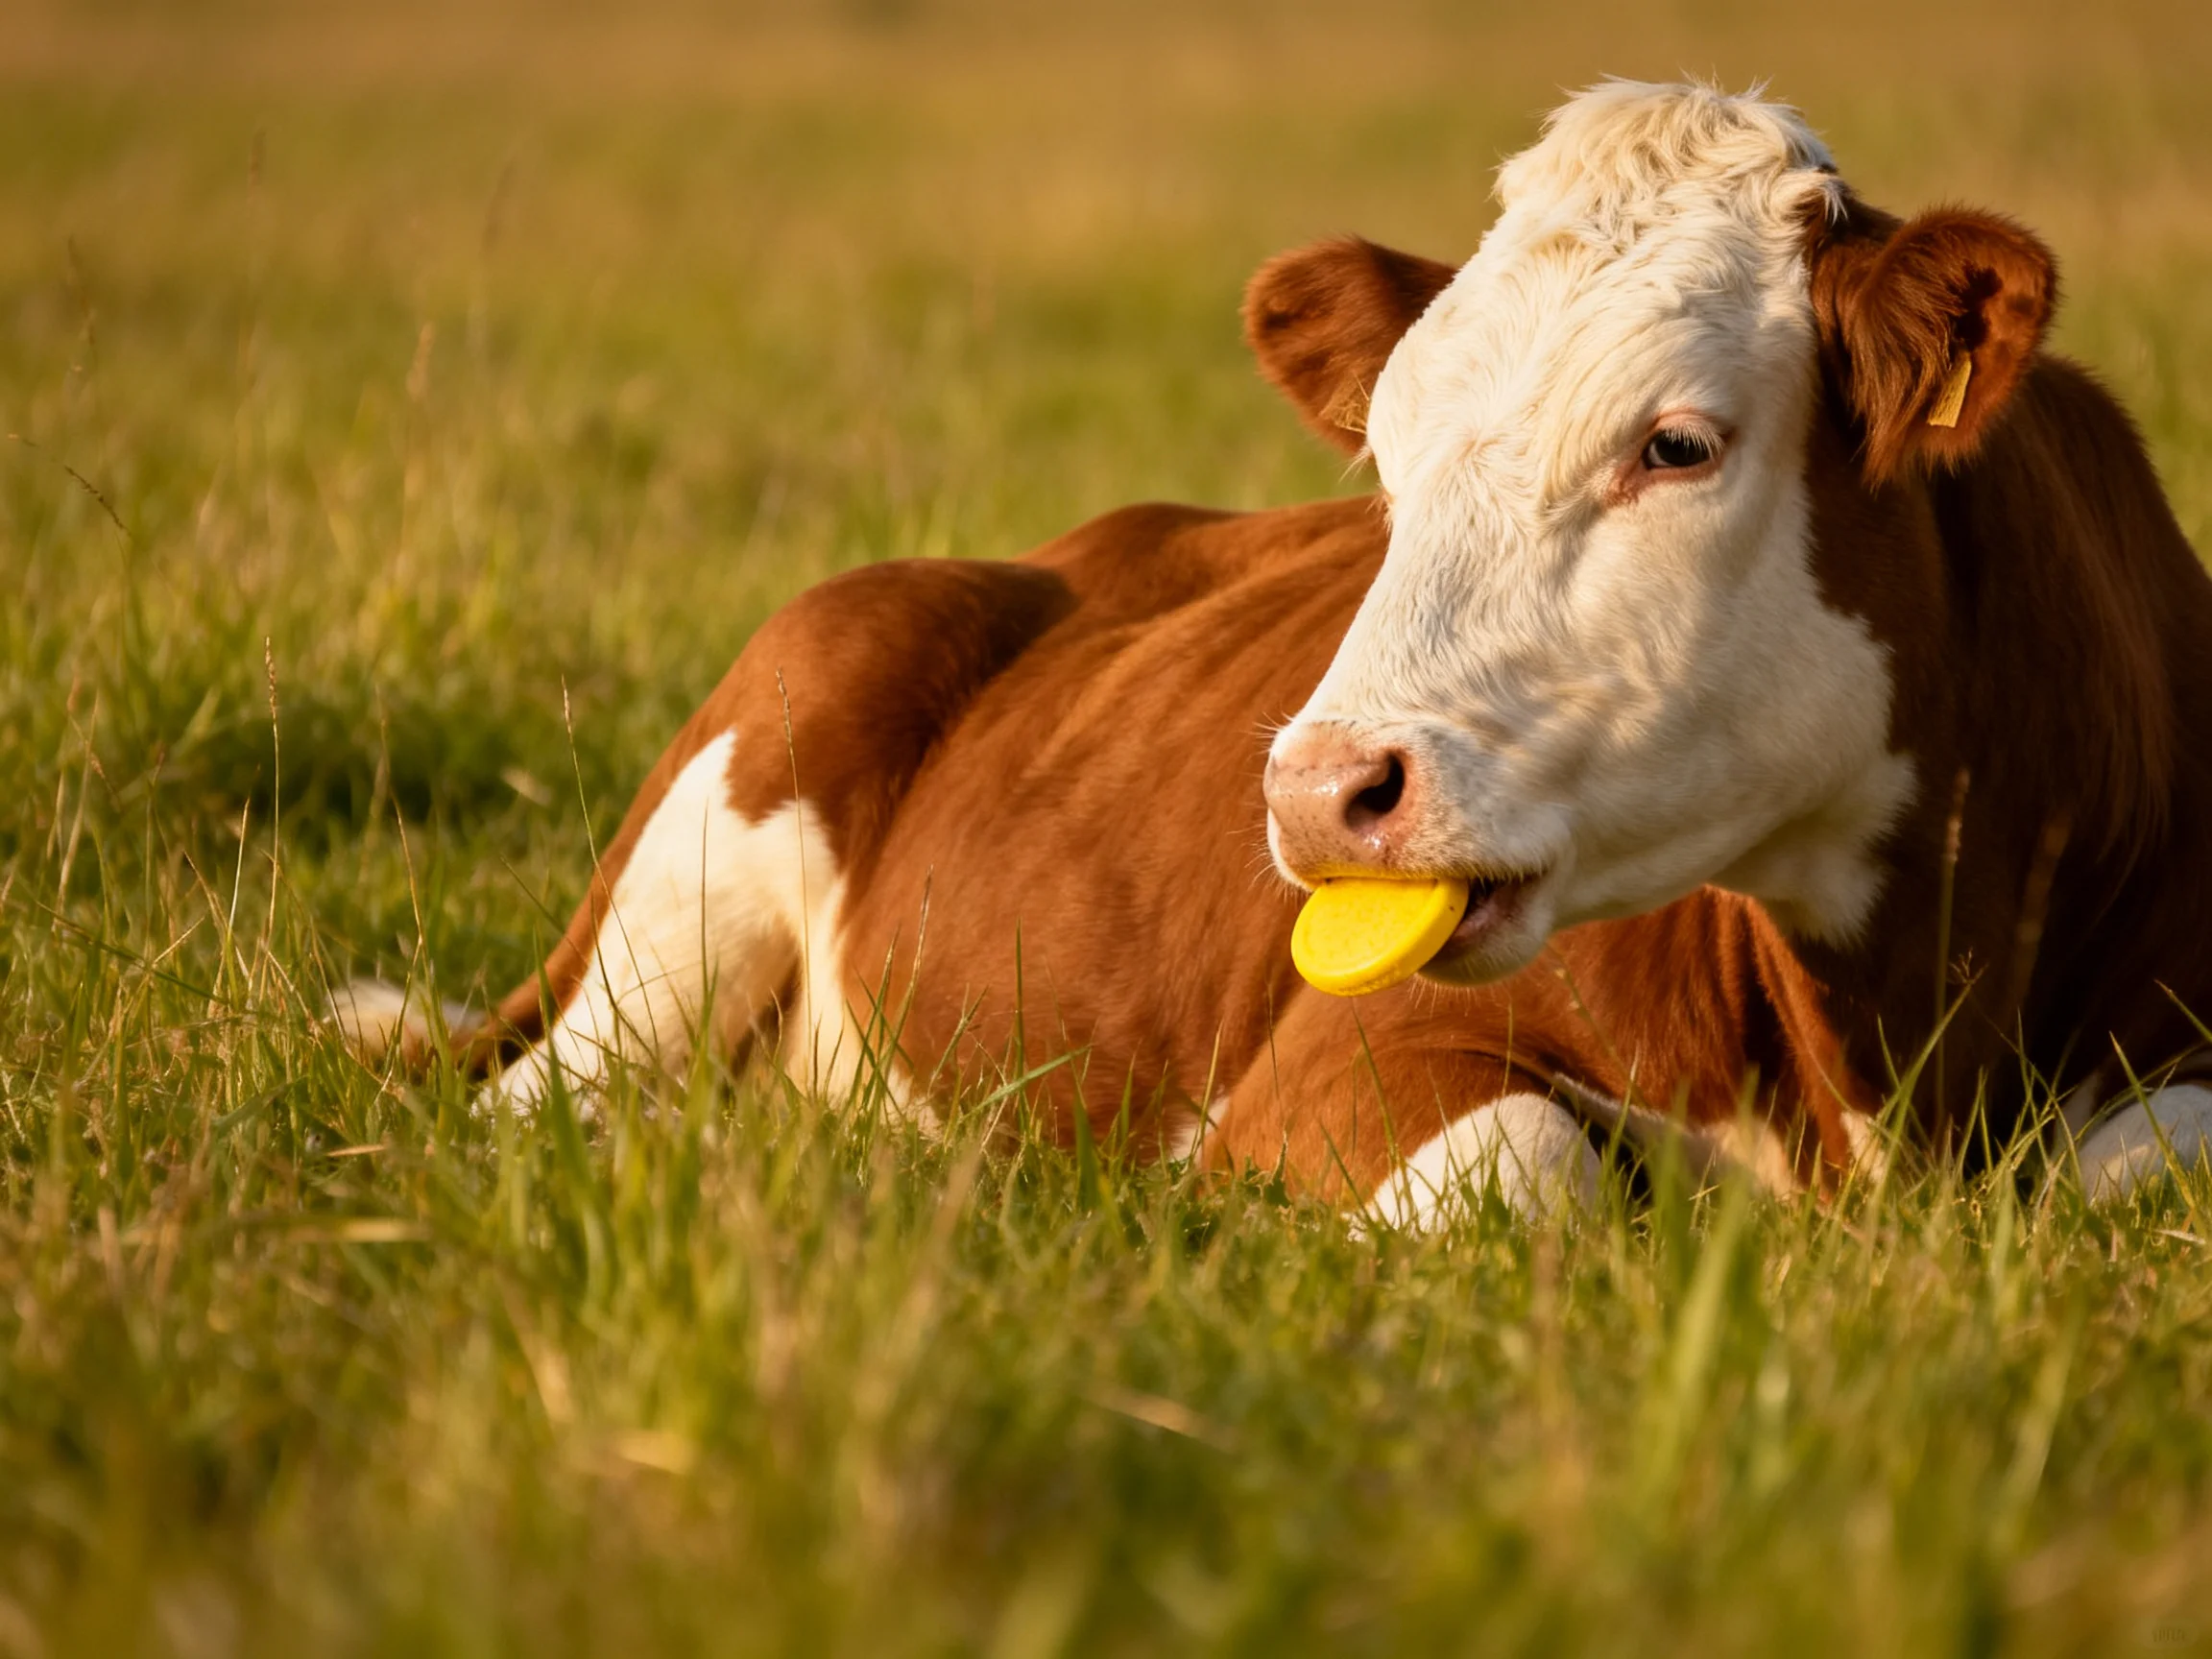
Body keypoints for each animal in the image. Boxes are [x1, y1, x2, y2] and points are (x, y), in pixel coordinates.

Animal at [338, 80, 2212, 1224]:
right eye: (1383, 448)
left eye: (1675, 444)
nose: (1320, 790)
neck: (1892, 1055)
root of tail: (1065, 554)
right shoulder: (1323, 1083)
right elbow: (1530, 1172)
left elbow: (2146, 1172)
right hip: (708, 858)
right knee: (543, 1111)